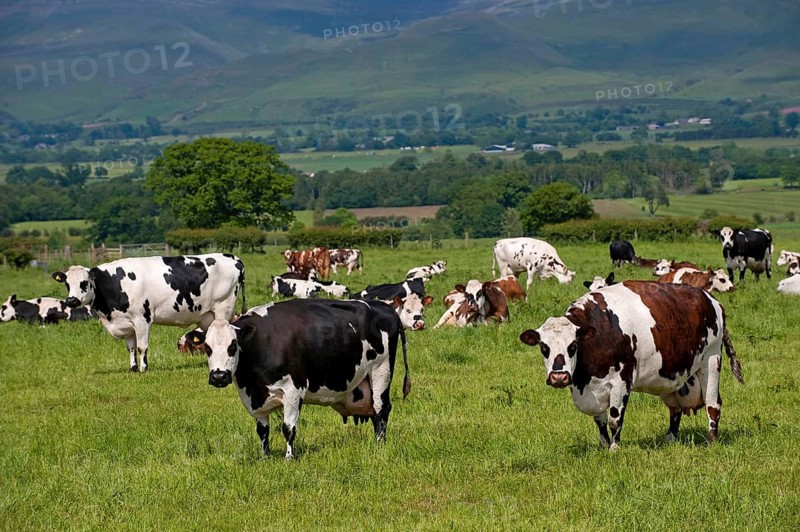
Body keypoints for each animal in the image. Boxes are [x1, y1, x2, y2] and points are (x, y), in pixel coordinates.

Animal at [52, 253, 245, 372]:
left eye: (84, 282)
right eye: (67, 284)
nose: (71, 300)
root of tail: (234, 258)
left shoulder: (142, 319)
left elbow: (141, 346)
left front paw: (144, 368)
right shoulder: (126, 323)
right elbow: (130, 348)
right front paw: (132, 368)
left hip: (223, 309)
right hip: (206, 317)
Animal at [201, 298, 411, 459]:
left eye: (232, 346)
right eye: (207, 348)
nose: (219, 376)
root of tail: (383, 306)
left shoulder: (293, 389)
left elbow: (288, 427)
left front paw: (289, 457)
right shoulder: (256, 398)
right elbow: (262, 431)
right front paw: (265, 456)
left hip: (381, 372)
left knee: (381, 410)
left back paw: (379, 445)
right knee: (375, 414)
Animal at [519, 281, 744, 450]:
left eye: (572, 345)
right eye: (544, 347)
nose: (559, 377)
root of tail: (710, 298)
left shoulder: (622, 381)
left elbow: (614, 419)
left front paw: (614, 448)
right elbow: (600, 421)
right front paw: (604, 445)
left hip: (711, 359)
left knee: (713, 404)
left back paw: (711, 441)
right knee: (675, 409)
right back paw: (670, 439)